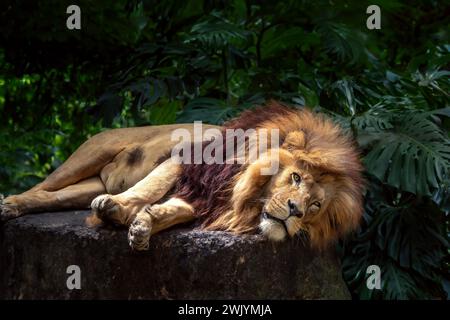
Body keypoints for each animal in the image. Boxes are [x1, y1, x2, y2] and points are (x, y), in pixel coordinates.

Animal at [0, 102, 364, 250]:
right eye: (296, 178)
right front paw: (116, 209)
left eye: (315, 206)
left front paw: (143, 226)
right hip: (87, 155)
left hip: (84, 185)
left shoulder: (208, 200)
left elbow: (177, 210)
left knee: (49, 197)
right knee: (42, 185)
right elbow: (151, 187)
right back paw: (9, 204)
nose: (295, 211)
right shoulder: (186, 163)